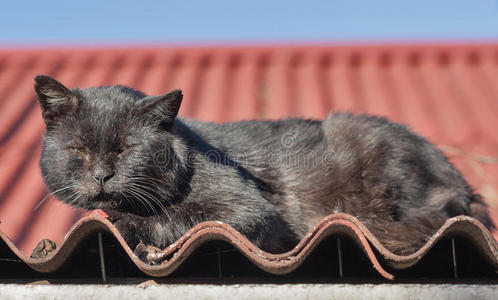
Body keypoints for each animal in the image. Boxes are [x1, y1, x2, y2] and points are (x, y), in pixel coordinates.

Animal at [34, 74, 494, 255]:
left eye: (126, 149)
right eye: (78, 149)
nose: (101, 176)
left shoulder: (250, 211)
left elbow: (172, 217)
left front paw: (128, 222)